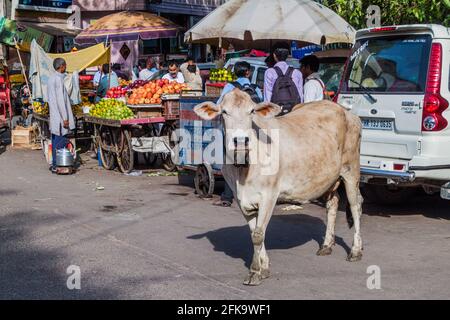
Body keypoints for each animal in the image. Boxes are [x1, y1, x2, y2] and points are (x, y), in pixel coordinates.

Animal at [195, 89, 364, 286]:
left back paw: (355, 250)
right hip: (329, 178)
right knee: (333, 204)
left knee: (355, 206)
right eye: (224, 112)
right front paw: (264, 268)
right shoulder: (241, 198)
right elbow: (253, 232)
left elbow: (258, 235)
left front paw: (254, 272)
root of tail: (346, 111)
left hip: (351, 171)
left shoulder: (269, 195)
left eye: (251, 111)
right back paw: (326, 245)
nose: (241, 141)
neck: (243, 169)